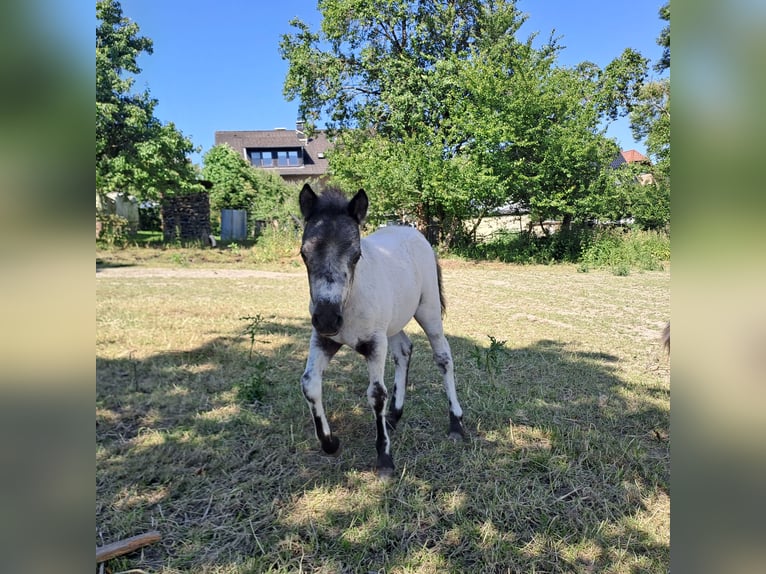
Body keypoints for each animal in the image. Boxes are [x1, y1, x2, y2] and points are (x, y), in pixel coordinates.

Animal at [300, 184, 468, 476]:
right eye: (303, 254)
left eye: (356, 255)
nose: (328, 319)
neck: (350, 302)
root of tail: (414, 232)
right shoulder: (323, 340)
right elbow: (310, 384)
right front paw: (330, 443)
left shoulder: (374, 344)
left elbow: (377, 394)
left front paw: (384, 459)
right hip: (394, 321)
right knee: (404, 351)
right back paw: (394, 415)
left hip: (428, 312)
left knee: (443, 357)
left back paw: (455, 424)